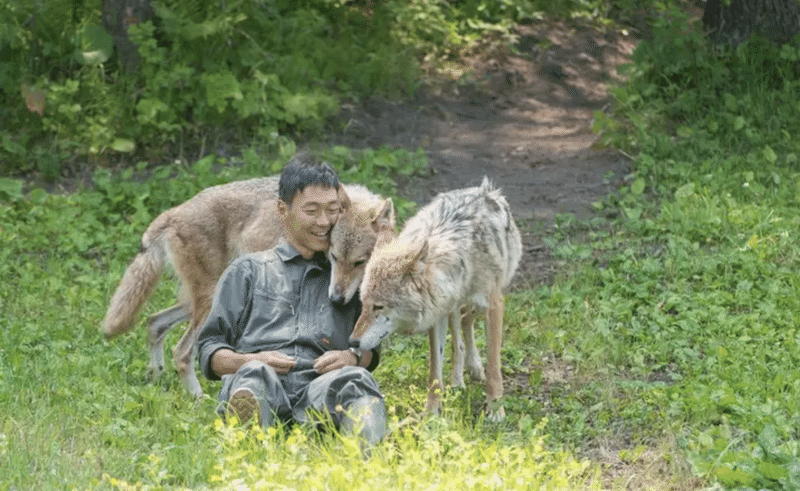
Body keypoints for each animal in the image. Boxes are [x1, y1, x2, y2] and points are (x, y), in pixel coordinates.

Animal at [348, 179, 520, 420]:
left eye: (379, 307)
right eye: (363, 304)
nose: (351, 342)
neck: (460, 262)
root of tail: (484, 189)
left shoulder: (494, 305)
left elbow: (494, 366)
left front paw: (495, 409)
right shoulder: (437, 313)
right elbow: (434, 372)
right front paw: (431, 413)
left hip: (482, 302)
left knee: (467, 320)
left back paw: (475, 368)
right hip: (453, 308)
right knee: (460, 331)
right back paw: (460, 378)